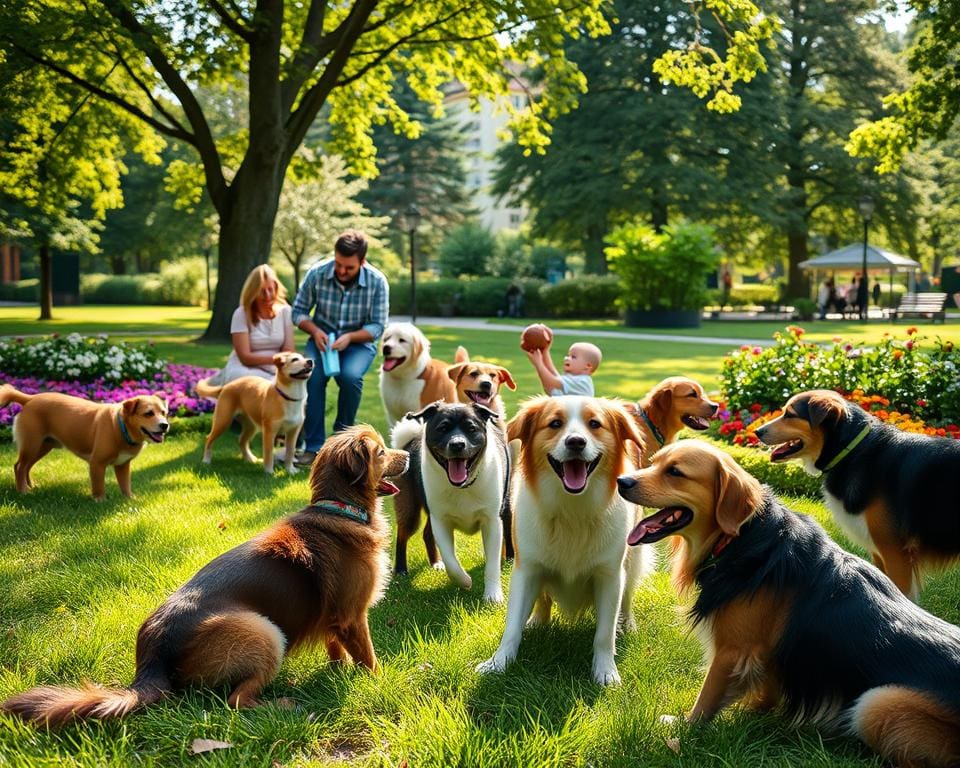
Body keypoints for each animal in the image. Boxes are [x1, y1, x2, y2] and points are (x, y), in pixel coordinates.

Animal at [0, 384, 169, 504]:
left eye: (164, 413)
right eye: (148, 413)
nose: (165, 425)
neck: (120, 426)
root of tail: (30, 398)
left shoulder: (123, 465)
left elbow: (125, 485)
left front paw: (130, 499)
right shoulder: (97, 463)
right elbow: (99, 485)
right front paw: (100, 500)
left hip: (43, 446)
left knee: (26, 467)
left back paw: (30, 486)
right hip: (31, 444)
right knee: (19, 466)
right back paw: (23, 491)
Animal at [0, 426, 406, 728]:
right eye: (381, 452)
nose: (406, 453)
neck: (340, 509)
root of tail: (151, 659)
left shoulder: (334, 619)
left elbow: (336, 651)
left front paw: (338, 673)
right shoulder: (353, 617)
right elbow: (367, 658)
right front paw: (378, 681)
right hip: (265, 632)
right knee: (237, 700)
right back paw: (286, 705)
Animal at [390, 400, 510, 604]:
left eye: (471, 428)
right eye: (442, 428)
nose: (457, 444)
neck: (463, 486)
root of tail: (410, 440)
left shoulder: (492, 522)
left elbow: (493, 564)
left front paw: (493, 595)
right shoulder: (441, 521)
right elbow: (451, 562)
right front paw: (465, 581)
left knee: (426, 534)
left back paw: (435, 563)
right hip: (410, 508)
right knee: (404, 535)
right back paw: (401, 570)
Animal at [616, 438, 960, 768]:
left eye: (675, 472)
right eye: (653, 462)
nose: (622, 481)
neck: (742, 538)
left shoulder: (732, 650)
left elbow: (708, 695)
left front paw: (685, 728)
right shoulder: (767, 653)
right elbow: (765, 692)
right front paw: (751, 715)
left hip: (875, 703)